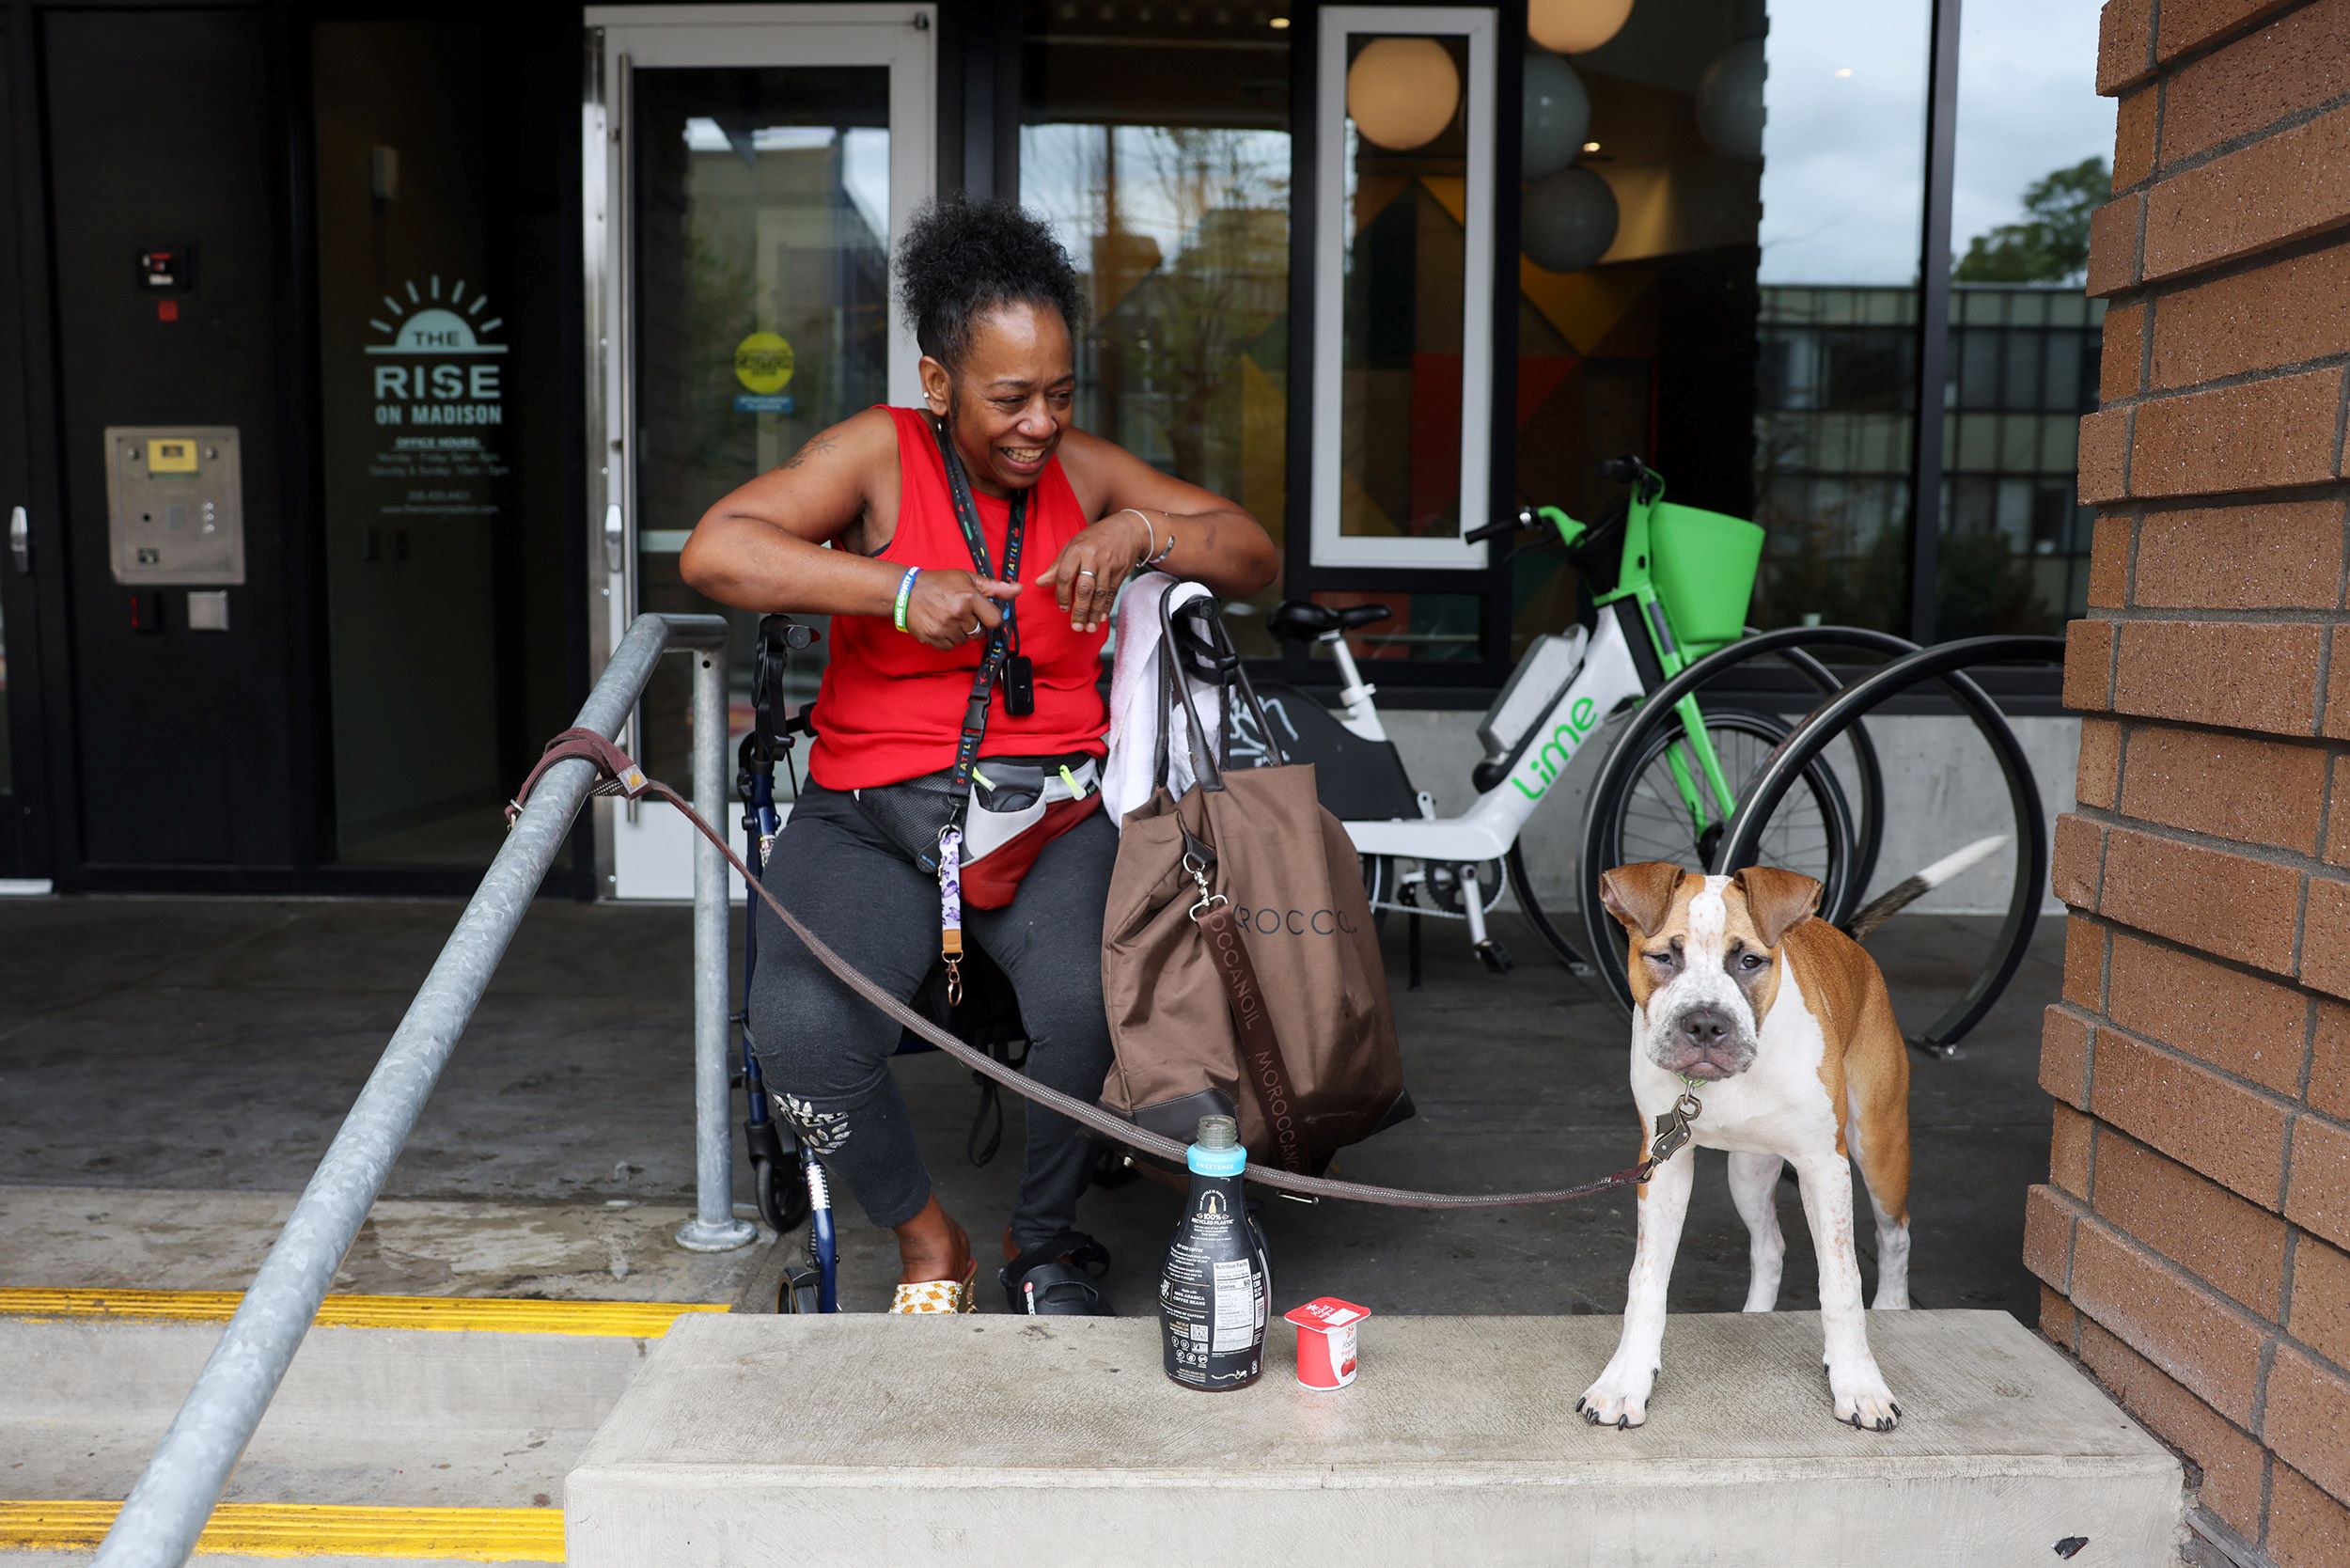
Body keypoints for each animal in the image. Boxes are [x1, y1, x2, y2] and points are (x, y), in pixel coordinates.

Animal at [1579, 846, 2002, 1438]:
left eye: (1751, 962)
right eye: (1662, 957)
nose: (1705, 1024)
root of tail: (1840, 932)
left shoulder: (1826, 1166)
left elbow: (1842, 1281)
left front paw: (1859, 1386)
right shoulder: (1663, 1164)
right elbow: (1646, 1280)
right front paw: (1625, 1381)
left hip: (1880, 1143)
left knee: (1895, 1233)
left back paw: (1894, 1306)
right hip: (1747, 1169)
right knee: (1769, 1244)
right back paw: (1757, 1317)